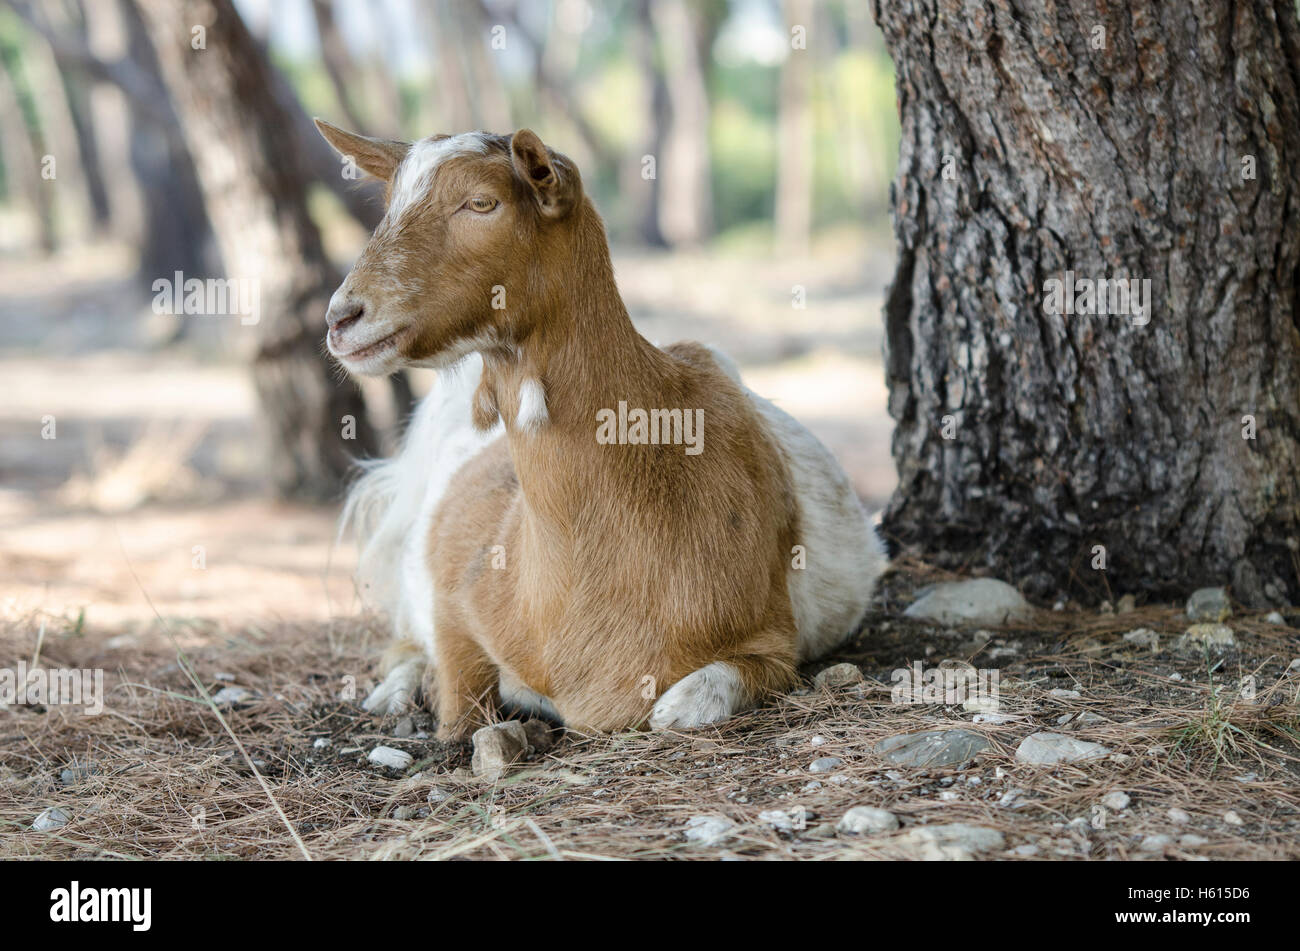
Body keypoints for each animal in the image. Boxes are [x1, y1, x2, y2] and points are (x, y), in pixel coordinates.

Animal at [314, 118, 889, 737]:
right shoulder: (457, 595)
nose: (342, 318)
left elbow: (685, 705)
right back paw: (393, 692)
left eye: (482, 202)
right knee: (401, 641)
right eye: (389, 204)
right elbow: (460, 707)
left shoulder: (773, 639)